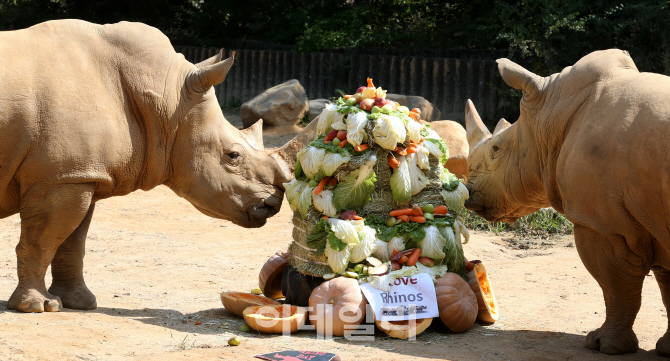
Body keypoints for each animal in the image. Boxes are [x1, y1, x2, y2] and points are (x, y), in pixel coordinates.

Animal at [0, 20, 294, 312]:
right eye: (233, 155)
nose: (273, 204)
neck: (168, 100)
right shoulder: (59, 178)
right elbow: (42, 241)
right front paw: (38, 306)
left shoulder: (80, 174)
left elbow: (72, 242)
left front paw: (80, 302)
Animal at [464, 49, 670, 356]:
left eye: (496, 149)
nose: (468, 194)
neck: (551, 114)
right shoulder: (653, 217)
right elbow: (666, 285)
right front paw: (667, 348)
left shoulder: (602, 224)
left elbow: (616, 287)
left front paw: (602, 345)